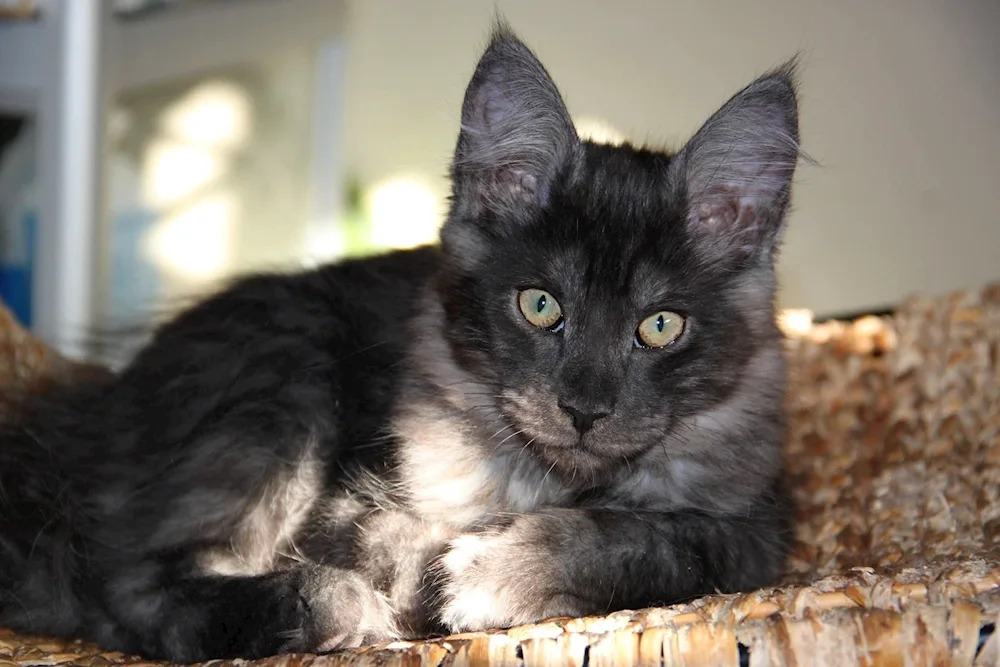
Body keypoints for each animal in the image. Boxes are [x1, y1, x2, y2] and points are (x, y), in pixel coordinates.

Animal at [0, 23, 796, 664]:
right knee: (126, 585)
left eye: (660, 326)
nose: (584, 410)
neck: (556, 481)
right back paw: (325, 604)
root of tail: (101, 411)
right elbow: (396, 542)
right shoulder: (347, 505)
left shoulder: (756, 530)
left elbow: (656, 538)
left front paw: (500, 568)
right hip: (277, 382)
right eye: (540, 306)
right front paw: (449, 579)